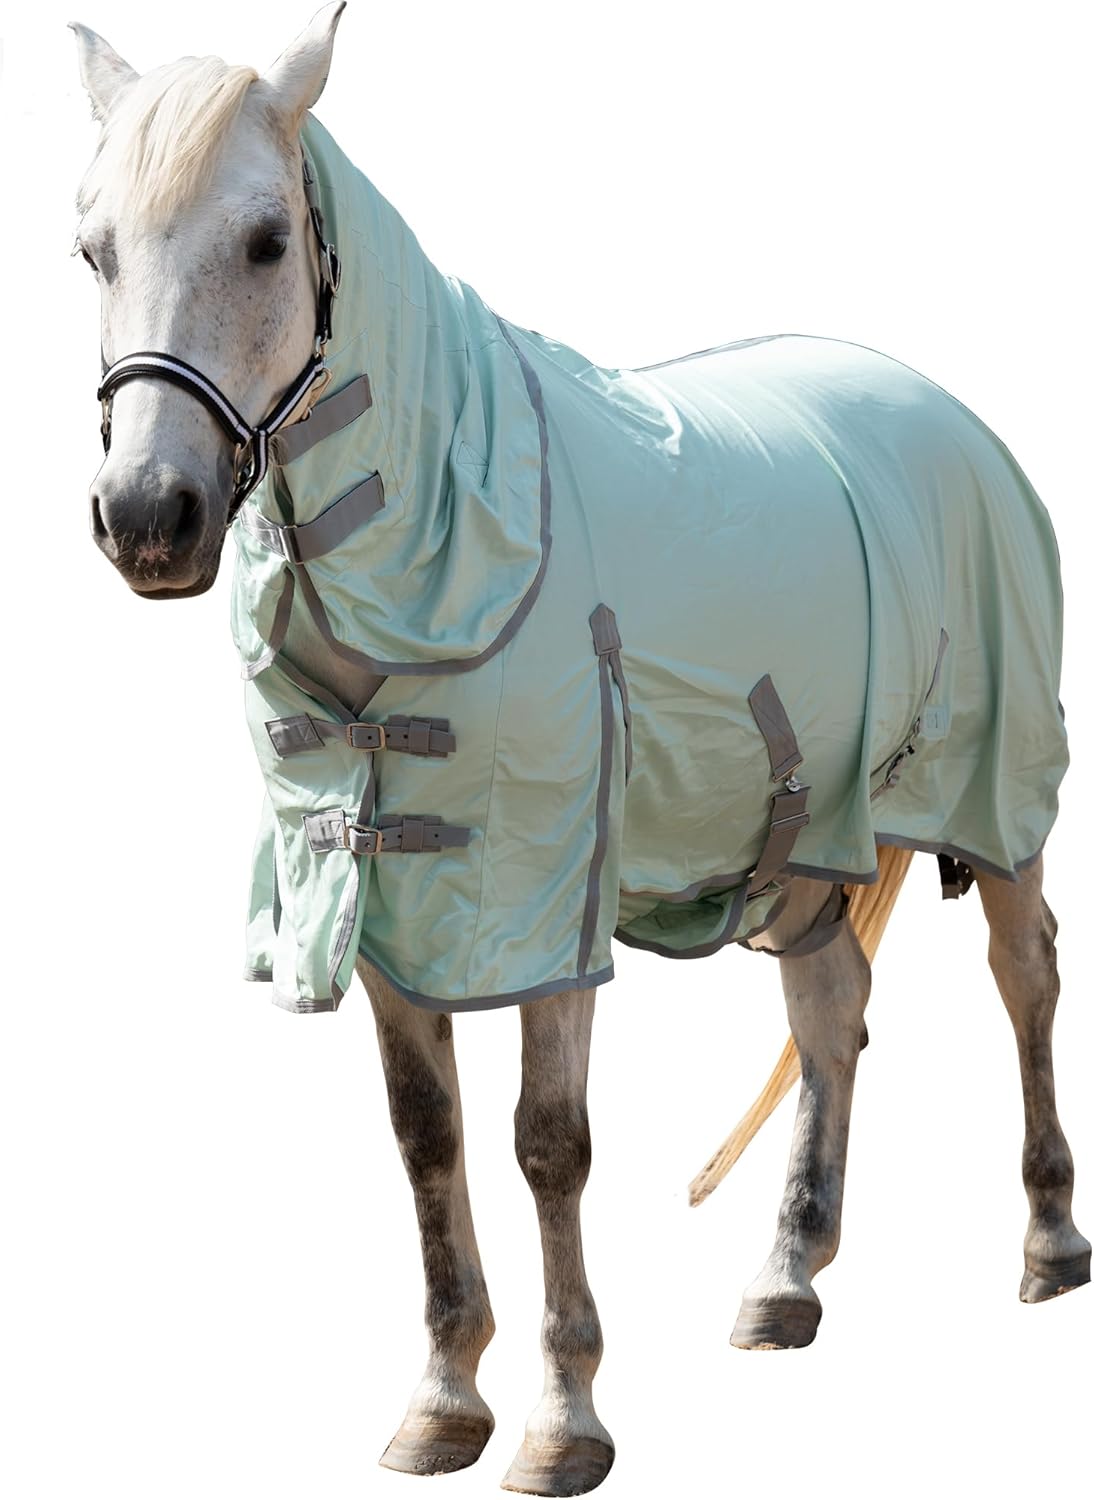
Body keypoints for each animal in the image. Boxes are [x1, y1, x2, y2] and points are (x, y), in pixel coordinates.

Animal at [71, 6, 1089, 1495]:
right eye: (91, 248)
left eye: (264, 240)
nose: (150, 516)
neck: (454, 537)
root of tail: (940, 406)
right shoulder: (387, 901)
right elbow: (425, 1137)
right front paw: (442, 1398)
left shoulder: (544, 895)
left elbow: (547, 1144)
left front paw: (562, 1422)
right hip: (809, 825)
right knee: (827, 1006)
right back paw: (784, 1277)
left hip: (994, 789)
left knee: (1023, 978)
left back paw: (1044, 1242)